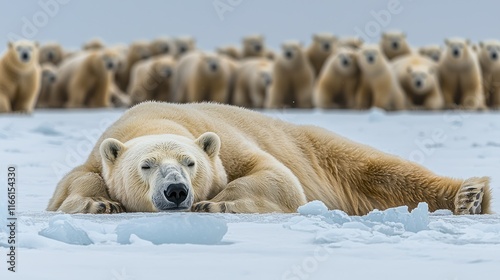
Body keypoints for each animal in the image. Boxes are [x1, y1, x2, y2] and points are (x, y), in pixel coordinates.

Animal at [47, 102, 492, 214]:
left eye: (191, 163)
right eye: (146, 165)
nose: (176, 191)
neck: (154, 120)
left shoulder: (228, 144)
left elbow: (275, 177)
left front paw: (214, 204)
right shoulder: (99, 153)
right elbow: (73, 185)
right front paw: (99, 202)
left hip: (316, 148)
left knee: (380, 169)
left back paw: (469, 196)